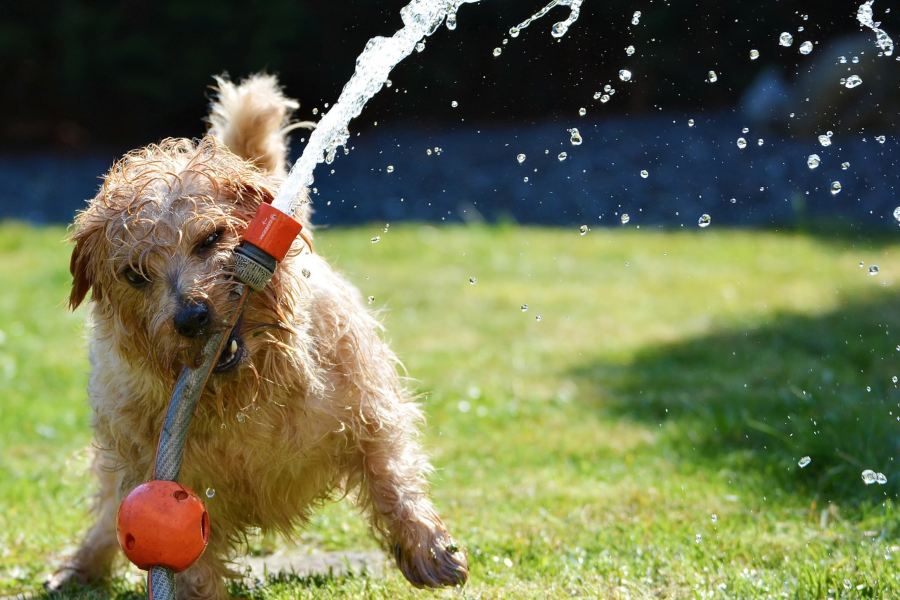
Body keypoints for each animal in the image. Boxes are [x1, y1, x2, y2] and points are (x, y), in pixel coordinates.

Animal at [47, 75, 472, 600]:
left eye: (211, 238)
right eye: (134, 274)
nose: (192, 317)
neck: (247, 394)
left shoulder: (370, 410)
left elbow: (391, 475)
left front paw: (428, 548)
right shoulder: (164, 475)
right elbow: (190, 560)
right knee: (109, 513)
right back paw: (79, 567)